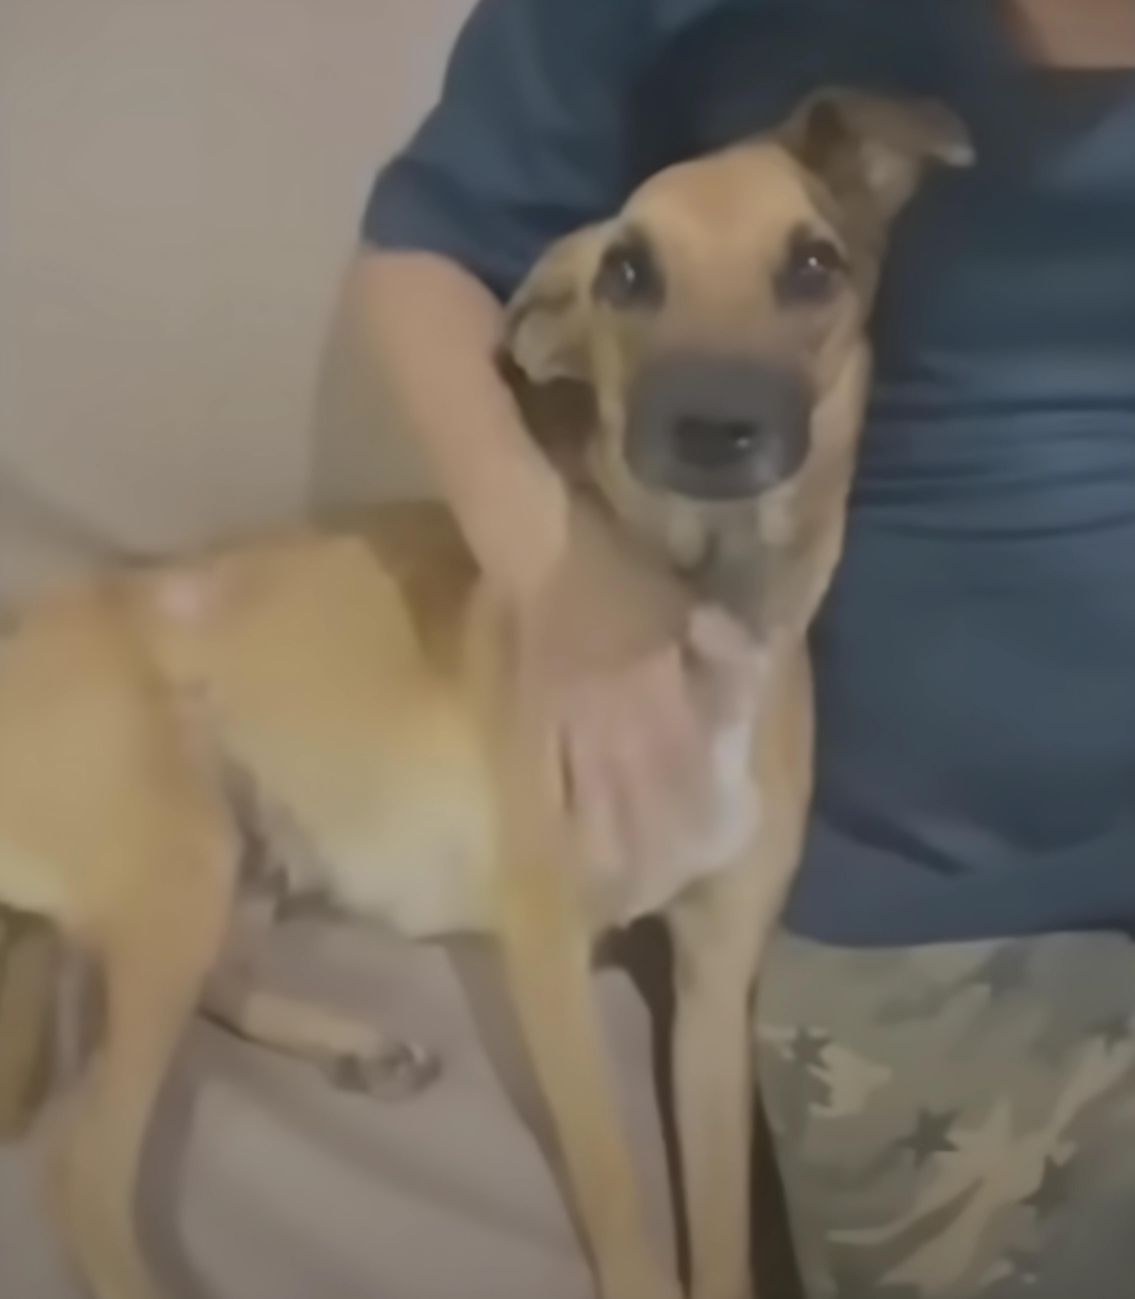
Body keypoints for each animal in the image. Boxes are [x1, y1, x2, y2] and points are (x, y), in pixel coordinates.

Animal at [0, 88, 966, 1299]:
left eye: (812, 264)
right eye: (627, 275)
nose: (708, 426)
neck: (692, 624)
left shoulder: (711, 984)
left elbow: (718, 1225)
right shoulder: (548, 957)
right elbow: (619, 1198)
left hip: (234, 864)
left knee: (209, 987)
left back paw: (353, 1043)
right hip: (178, 861)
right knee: (80, 1174)